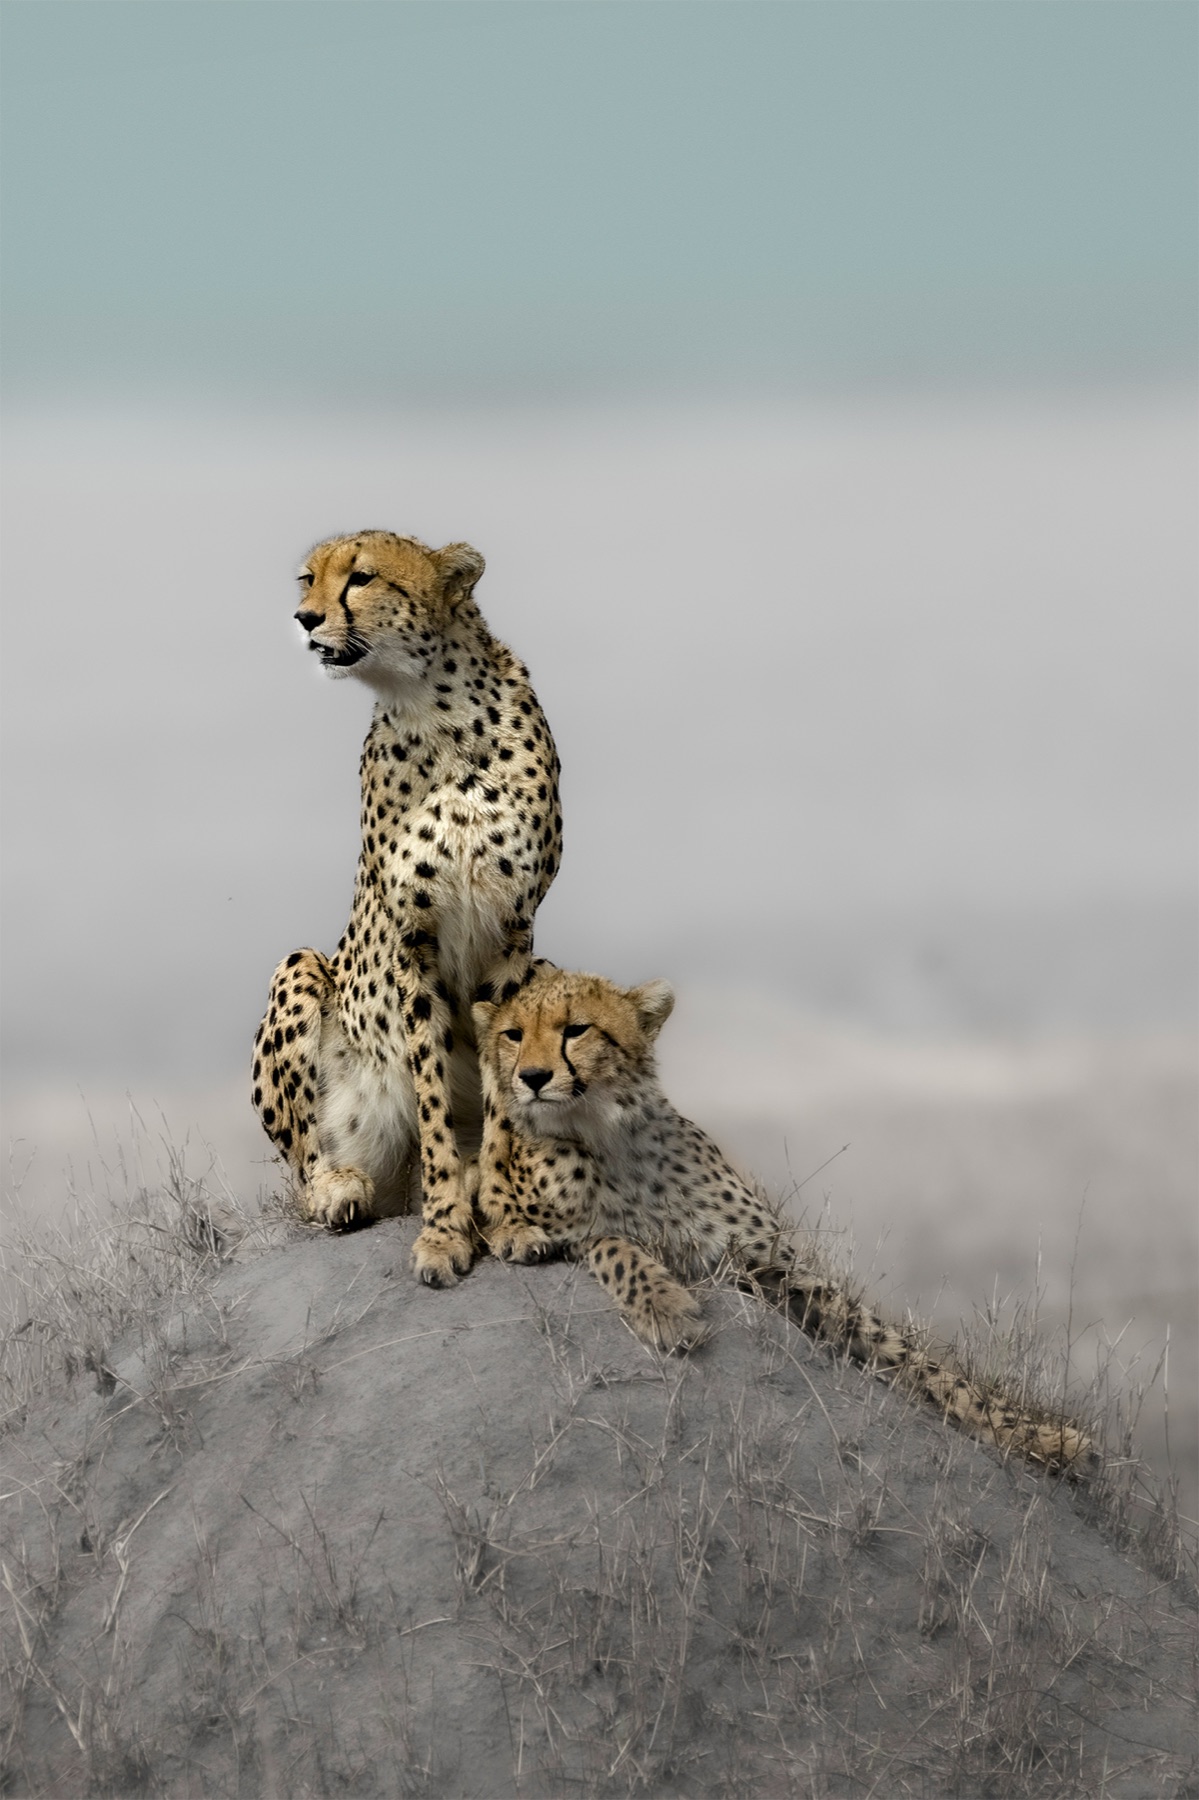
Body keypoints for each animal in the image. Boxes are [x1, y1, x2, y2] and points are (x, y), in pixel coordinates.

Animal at [251, 531, 561, 1287]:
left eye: (361, 578)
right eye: (306, 578)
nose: (304, 618)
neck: (434, 708)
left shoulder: (513, 934)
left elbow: (501, 1090)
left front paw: (506, 1218)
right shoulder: (410, 939)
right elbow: (429, 1095)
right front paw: (446, 1231)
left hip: (545, 968)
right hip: (300, 969)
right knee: (308, 1158)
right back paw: (339, 1187)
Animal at [471, 964, 1093, 1473]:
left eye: (576, 1029)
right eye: (513, 1034)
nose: (531, 1077)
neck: (607, 1133)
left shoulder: (768, 1262)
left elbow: (904, 1351)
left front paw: (1037, 1435)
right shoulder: (578, 1237)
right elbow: (615, 1244)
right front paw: (667, 1309)